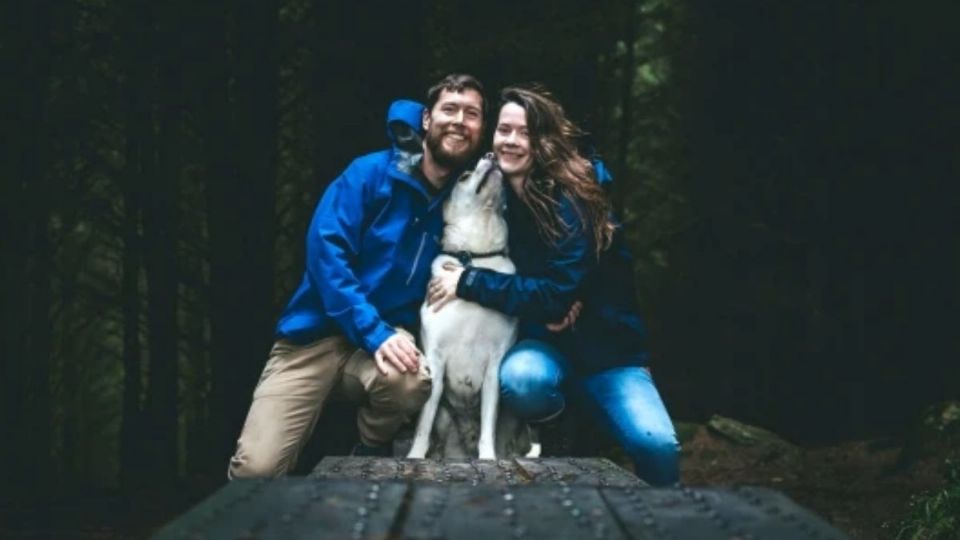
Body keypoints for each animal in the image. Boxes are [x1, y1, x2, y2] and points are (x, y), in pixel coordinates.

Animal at [406, 153, 524, 460]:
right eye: (463, 176)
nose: (491, 155)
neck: (477, 259)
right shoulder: (435, 360)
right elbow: (423, 422)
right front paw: (414, 457)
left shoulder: (495, 363)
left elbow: (488, 423)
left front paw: (488, 458)